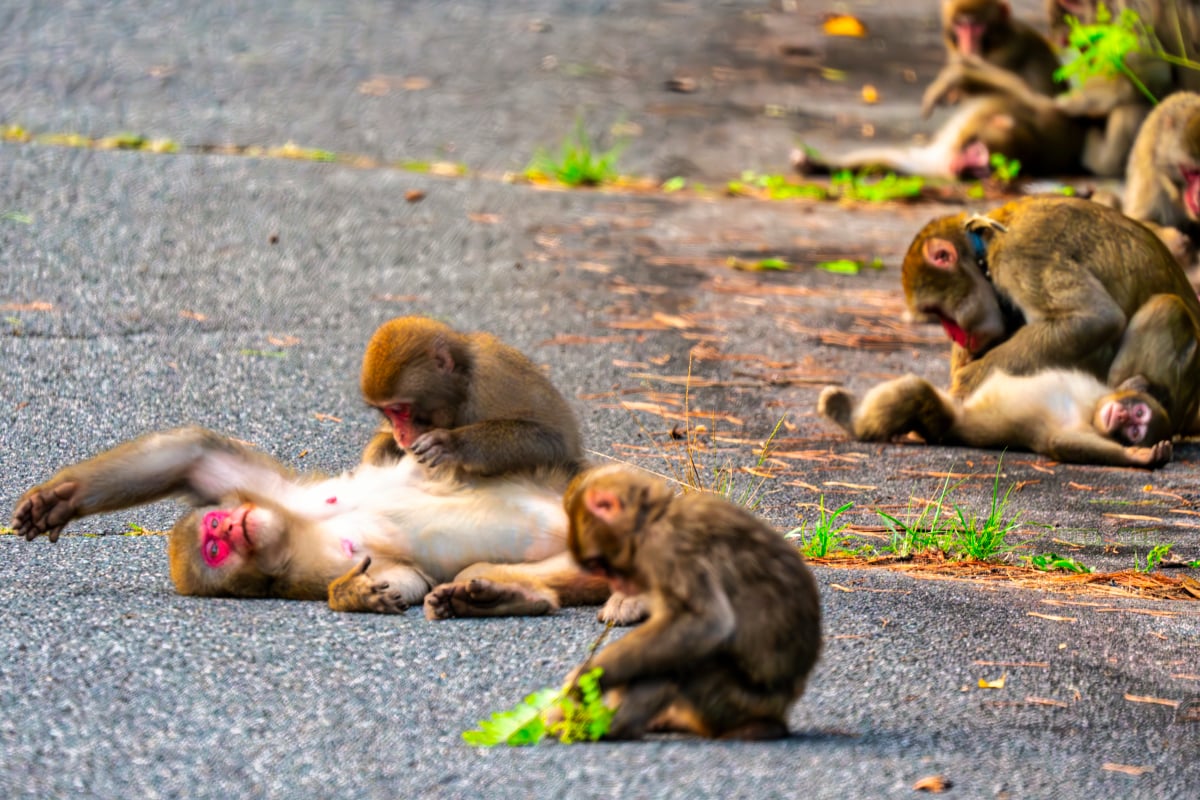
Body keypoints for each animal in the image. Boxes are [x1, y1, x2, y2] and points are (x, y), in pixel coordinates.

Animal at [9, 429, 609, 618]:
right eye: (213, 552)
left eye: (217, 524)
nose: (228, 530)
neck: (297, 533)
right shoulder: (305, 573)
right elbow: (405, 579)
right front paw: (358, 594)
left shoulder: (275, 496)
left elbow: (196, 454)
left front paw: (59, 499)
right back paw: (502, 598)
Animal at [357, 314, 583, 479]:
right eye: (388, 413)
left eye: (399, 410)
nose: (400, 434)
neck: (461, 390)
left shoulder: (493, 377)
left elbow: (553, 440)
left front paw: (453, 443)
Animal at [561, 465, 825, 743]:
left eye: (598, 565)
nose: (617, 586)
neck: (654, 517)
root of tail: (783, 709)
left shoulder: (668, 548)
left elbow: (705, 624)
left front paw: (588, 677)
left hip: (739, 702)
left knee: (692, 657)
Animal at [816, 371, 1171, 470]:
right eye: (1137, 413)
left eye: (1135, 430)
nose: (1122, 416)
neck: (1092, 409)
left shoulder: (1078, 426)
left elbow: (1060, 441)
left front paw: (1136, 457)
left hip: (947, 424)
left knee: (918, 394)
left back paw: (847, 418)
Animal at [902, 195, 1200, 431]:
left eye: (939, 313)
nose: (952, 335)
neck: (985, 247)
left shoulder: (1018, 256)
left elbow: (1095, 318)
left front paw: (964, 384)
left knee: (1166, 308)